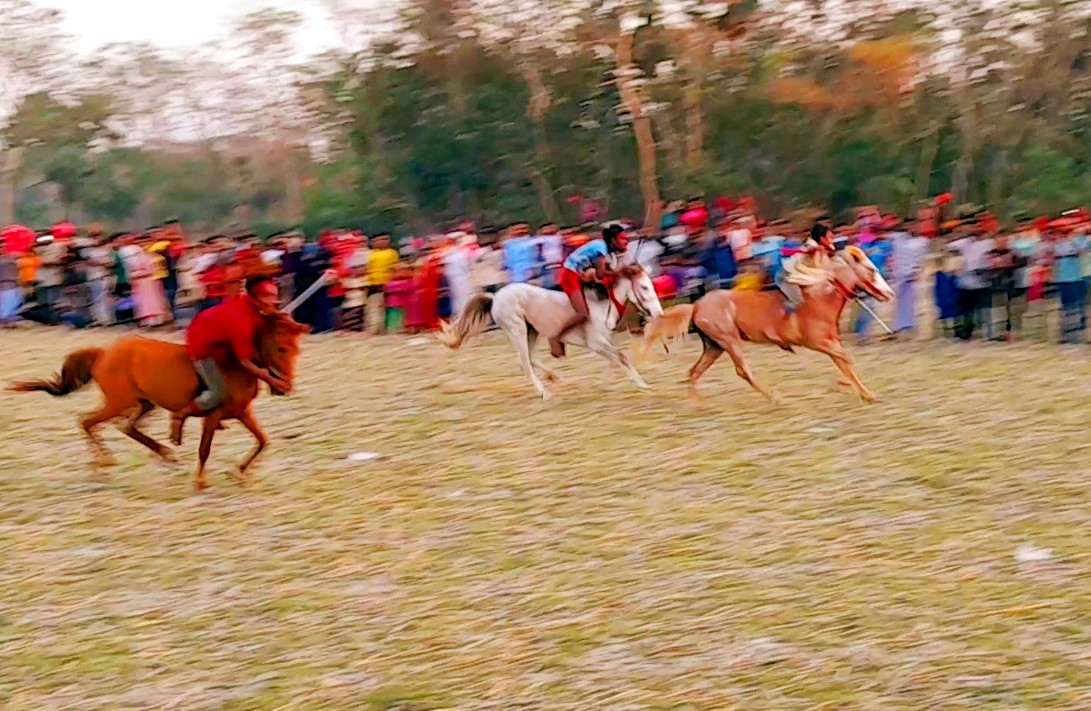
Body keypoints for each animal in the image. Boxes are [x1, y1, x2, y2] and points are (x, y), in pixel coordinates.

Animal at [11, 314, 312, 490]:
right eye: (281, 348)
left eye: (297, 349)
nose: (286, 386)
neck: (235, 364)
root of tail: (103, 354)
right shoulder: (212, 416)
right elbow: (205, 449)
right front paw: (200, 480)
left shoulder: (242, 413)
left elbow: (262, 441)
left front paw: (238, 472)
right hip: (118, 403)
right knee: (87, 422)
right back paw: (104, 463)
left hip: (143, 403)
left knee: (126, 427)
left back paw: (164, 453)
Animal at [436, 266, 658, 399]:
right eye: (644, 287)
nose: (657, 313)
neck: (603, 302)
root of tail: (495, 296)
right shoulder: (595, 343)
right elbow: (621, 356)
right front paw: (642, 384)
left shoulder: (603, 343)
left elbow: (615, 359)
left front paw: (612, 385)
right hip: (517, 330)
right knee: (525, 363)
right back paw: (544, 393)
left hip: (531, 331)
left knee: (531, 358)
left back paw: (555, 377)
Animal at [650, 247, 890, 405]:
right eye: (871, 271)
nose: (889, 294)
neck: (818, 298)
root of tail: (696, 306)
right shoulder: (819, 343)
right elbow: (848, 360)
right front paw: (844, 385)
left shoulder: (830, 343)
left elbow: (845, 364)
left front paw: (867, 394)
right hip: (729, 340)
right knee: (742, 370)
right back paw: (774, 397)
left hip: (714, 346)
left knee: (695, 371)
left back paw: (698, 404)